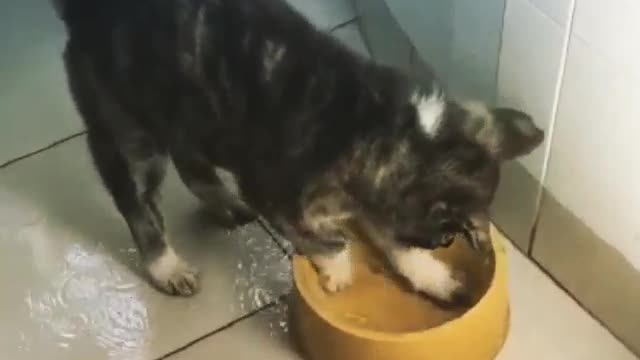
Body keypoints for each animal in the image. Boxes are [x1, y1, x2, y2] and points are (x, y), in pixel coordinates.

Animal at [56, 0, 544, 300]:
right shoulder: (277, 196)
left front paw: (434, 277)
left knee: (190, 158)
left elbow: (392, 242)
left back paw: (223, 205)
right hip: (128, 129)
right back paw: (168, 269)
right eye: (445, 231)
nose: (443, 242)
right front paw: (339, 272)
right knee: (140, 207)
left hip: (189, 109)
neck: (385, 127)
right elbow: (331, 240)